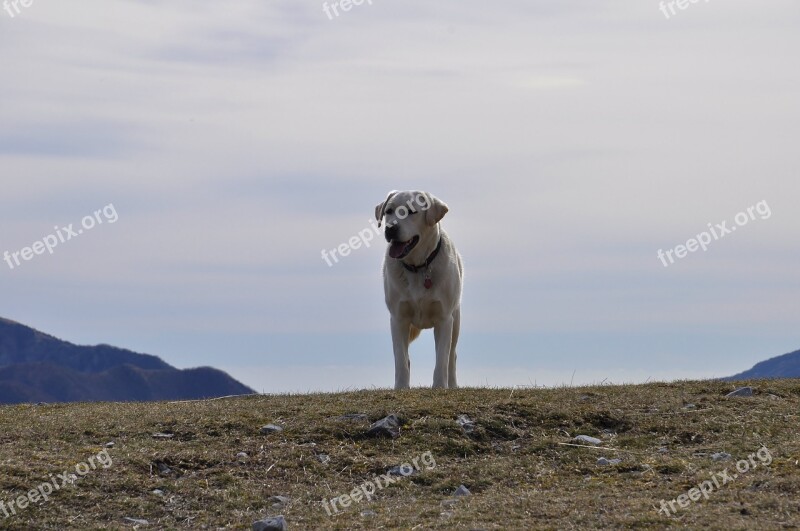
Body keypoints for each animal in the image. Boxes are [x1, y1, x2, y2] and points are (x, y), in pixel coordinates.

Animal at [376, 191, 462, 390]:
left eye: (411, 211)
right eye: (389, 211)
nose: (390, 229)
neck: (418, 267)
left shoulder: (444, 319)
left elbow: (442, 359)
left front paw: (439, 387)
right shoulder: (398, 319)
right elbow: (400, 359)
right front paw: (401, 388)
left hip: (456, 319)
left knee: (451, 356)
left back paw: (452, 385)